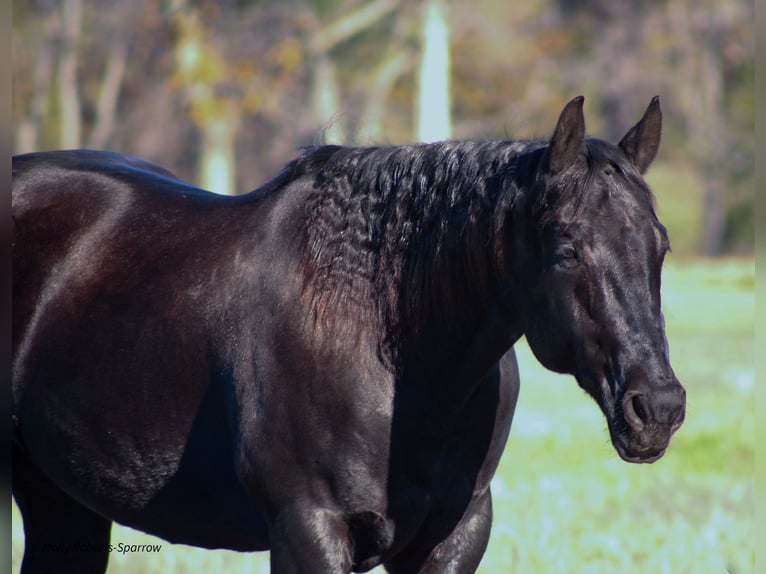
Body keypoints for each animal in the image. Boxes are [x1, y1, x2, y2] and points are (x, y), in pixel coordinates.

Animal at [12, 97, 684, 572]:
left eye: (661, 246)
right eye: (568, 249)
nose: (658, 409)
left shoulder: (453, 539)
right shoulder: (308, 531)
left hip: (64, 504)